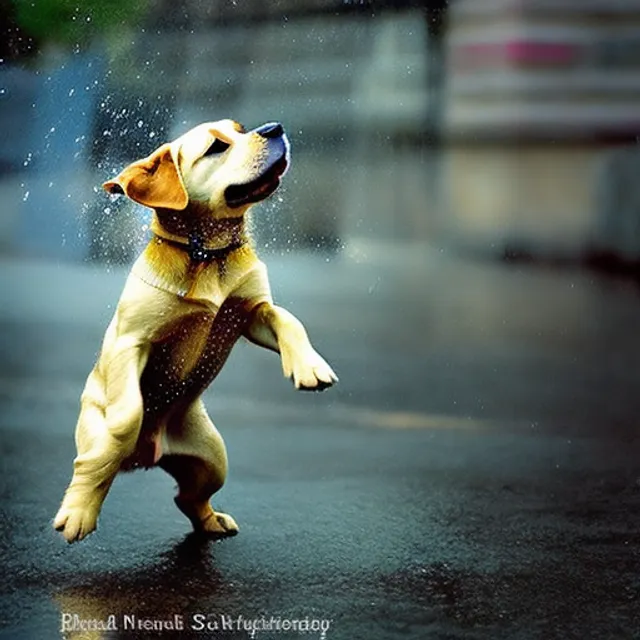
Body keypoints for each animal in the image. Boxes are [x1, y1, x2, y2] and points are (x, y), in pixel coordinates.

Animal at [53, 117, 340, 544]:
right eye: (216, 147)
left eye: (240, 129)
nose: (273, 127)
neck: (204, 253)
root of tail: (148, 457)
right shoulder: (131, 341)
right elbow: (127, 415)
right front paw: (94, 481)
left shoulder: (252, 314)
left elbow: (289, 319)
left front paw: (311, 367)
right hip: (94, 428)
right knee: (93, 460)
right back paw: (82, 500)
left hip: (213, 461)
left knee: (188, 498)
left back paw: (211, 522)